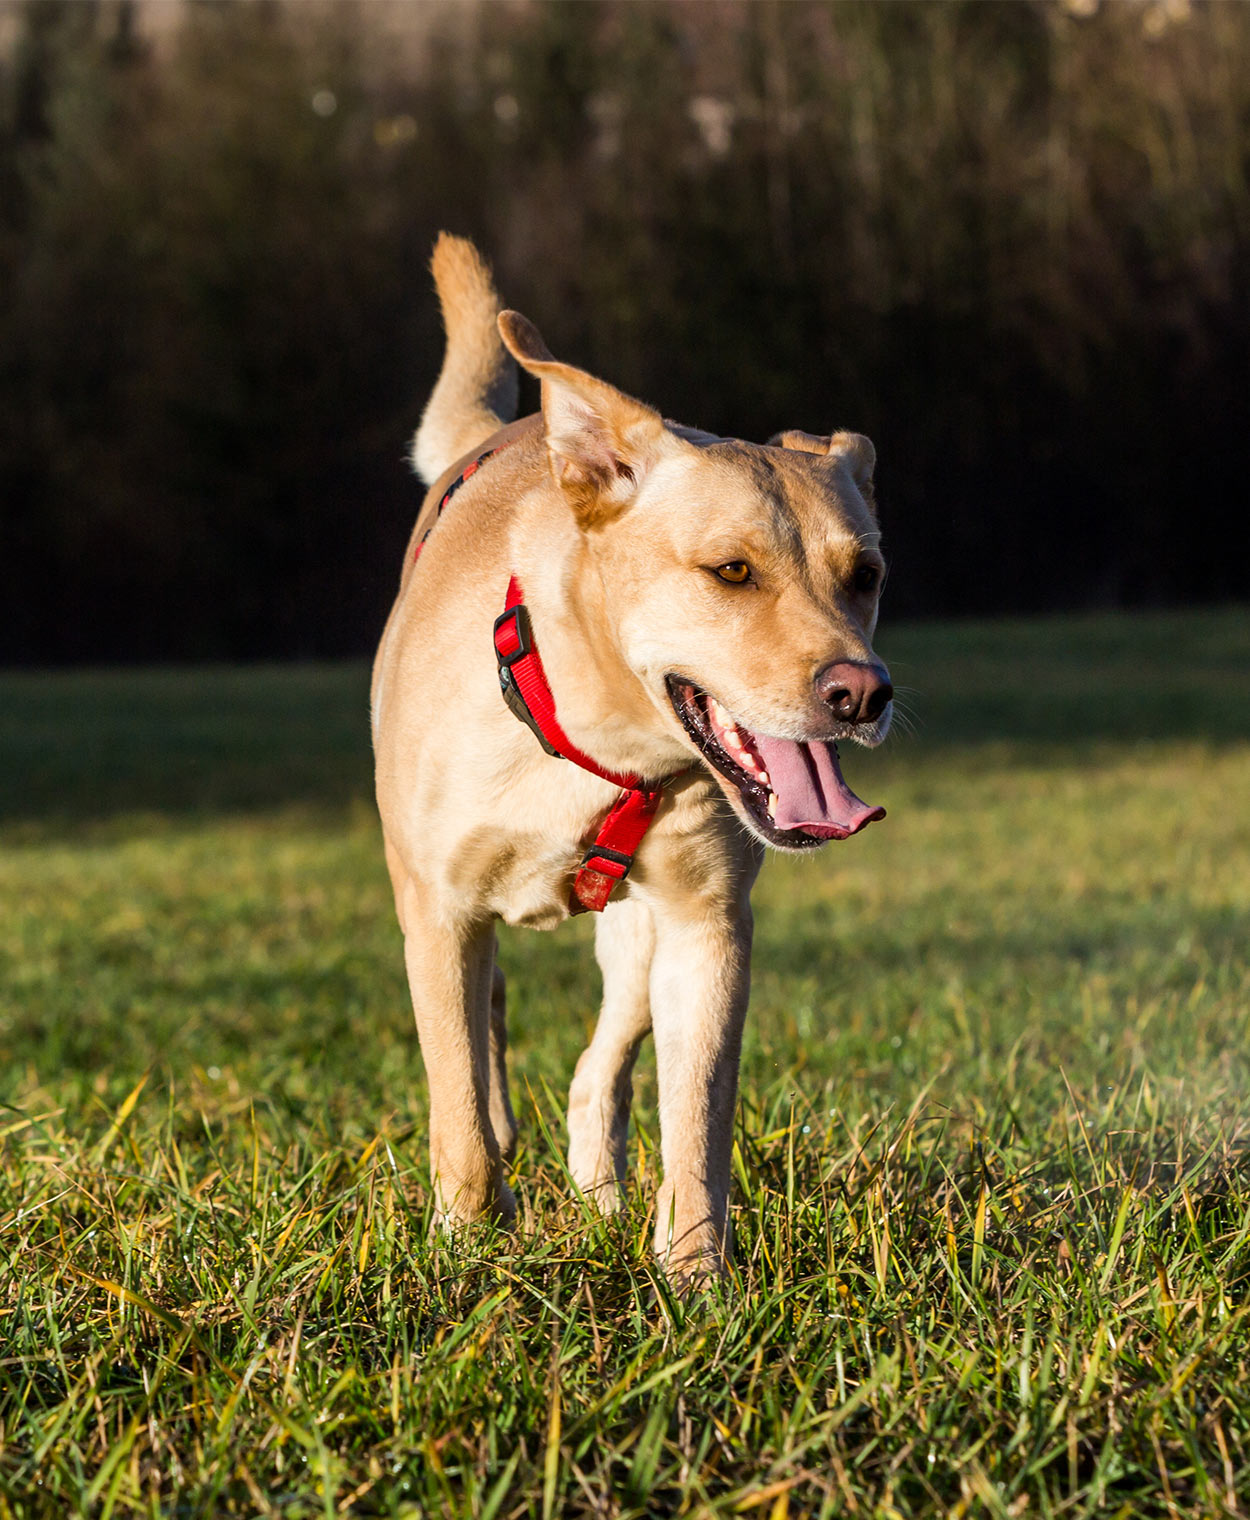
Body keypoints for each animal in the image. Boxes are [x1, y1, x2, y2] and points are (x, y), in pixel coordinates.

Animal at [372, 237, 888, 1282]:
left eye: (866, 576)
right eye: (732, 571)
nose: (862, 694)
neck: (594, 736)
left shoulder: (708, 929)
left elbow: (697, 1120)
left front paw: (697, 1281)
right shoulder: (437, 909)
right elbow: (455, 1103)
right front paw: (467, 1246)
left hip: (635, 941)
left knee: (597, 1068)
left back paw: (598, 1188)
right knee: (486, 1029)